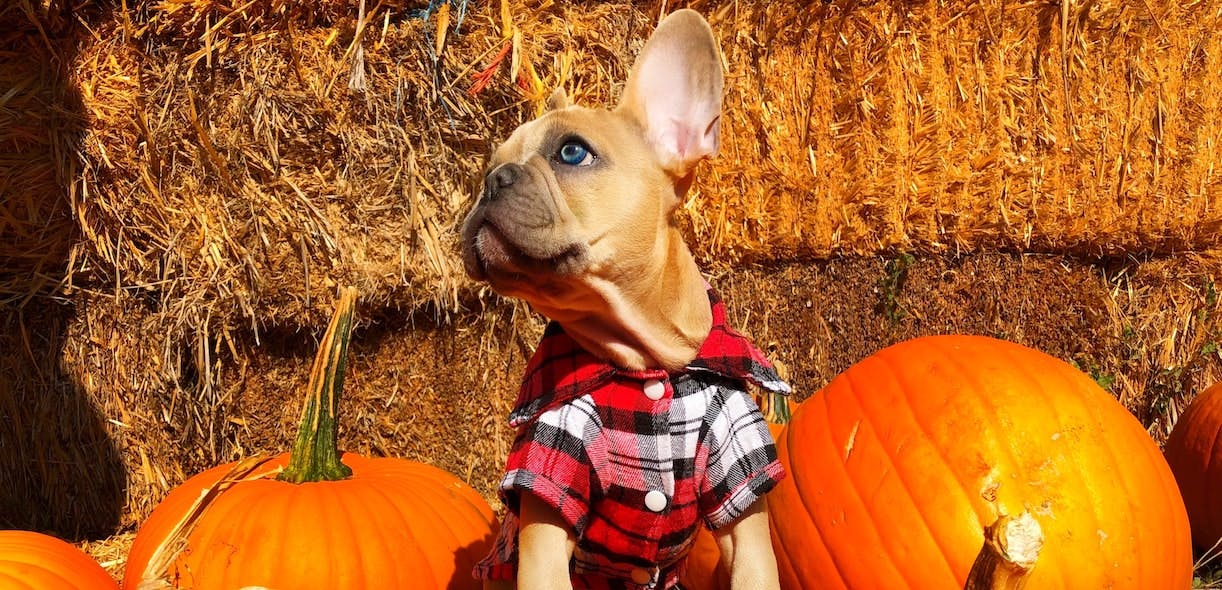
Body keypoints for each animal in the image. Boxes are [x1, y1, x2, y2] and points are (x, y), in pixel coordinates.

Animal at [461, 9, 786, 590]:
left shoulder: (743, 491)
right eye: (488, 165)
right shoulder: (548, 487)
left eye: (572, 152)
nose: (491, 179)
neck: (647, 364)